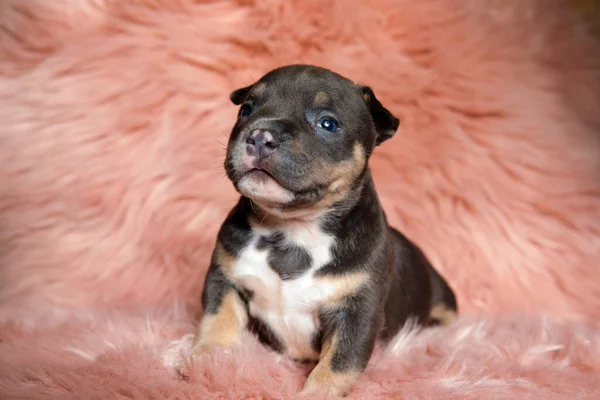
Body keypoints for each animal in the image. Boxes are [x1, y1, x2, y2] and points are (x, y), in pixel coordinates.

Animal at [190, 65, 458, 396]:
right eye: (246, 110)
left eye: (327, 124)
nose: (260, 136)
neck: (294, 228)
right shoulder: (225, 278)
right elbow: (218, 319)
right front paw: (206, 361)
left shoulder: (357, 313)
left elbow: (339, 364)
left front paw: (316, 392)